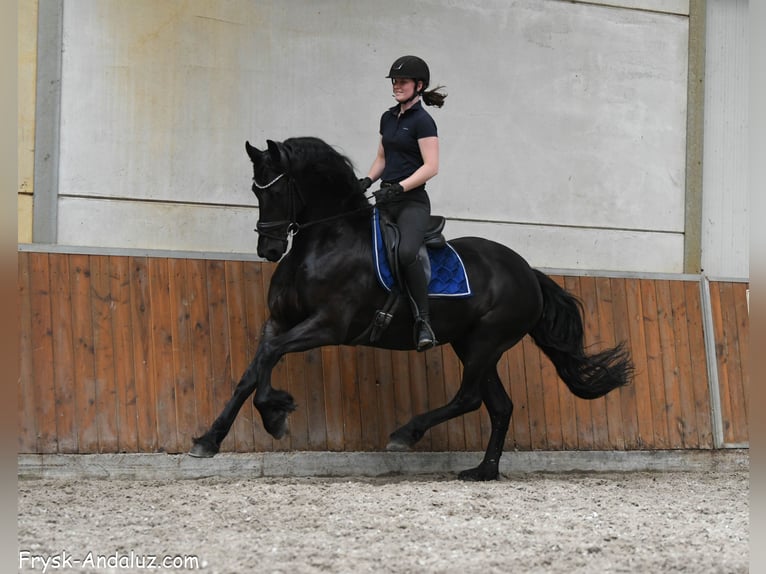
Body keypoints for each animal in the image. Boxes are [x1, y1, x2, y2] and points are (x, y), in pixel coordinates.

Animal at [189, 136, 634, 481]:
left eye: (278, 191)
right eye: (256, 191)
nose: (268, 249)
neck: (324, 239)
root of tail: (527, 271)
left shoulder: (328, 326)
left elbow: (271, 356)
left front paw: (275, 414)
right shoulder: (278, 321)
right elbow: (253, 369)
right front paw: (209, 440)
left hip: (487, 342)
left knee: (469, 398)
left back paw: (406, 434)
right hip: (471, 344)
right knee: (499, 405)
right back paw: (483, 471)